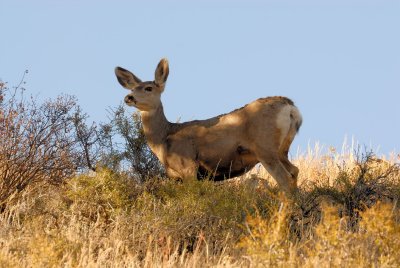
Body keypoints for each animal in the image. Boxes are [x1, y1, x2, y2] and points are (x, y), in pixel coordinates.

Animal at [114, 58, 302, 193]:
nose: (129, 97)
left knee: (284, 179)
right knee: (294, 171)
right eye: (131, 89)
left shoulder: (188, 166)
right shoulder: (177, 176)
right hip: (281, 150)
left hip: (265, 147)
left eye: (148, 88)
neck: (164, 138)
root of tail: (290, 107)